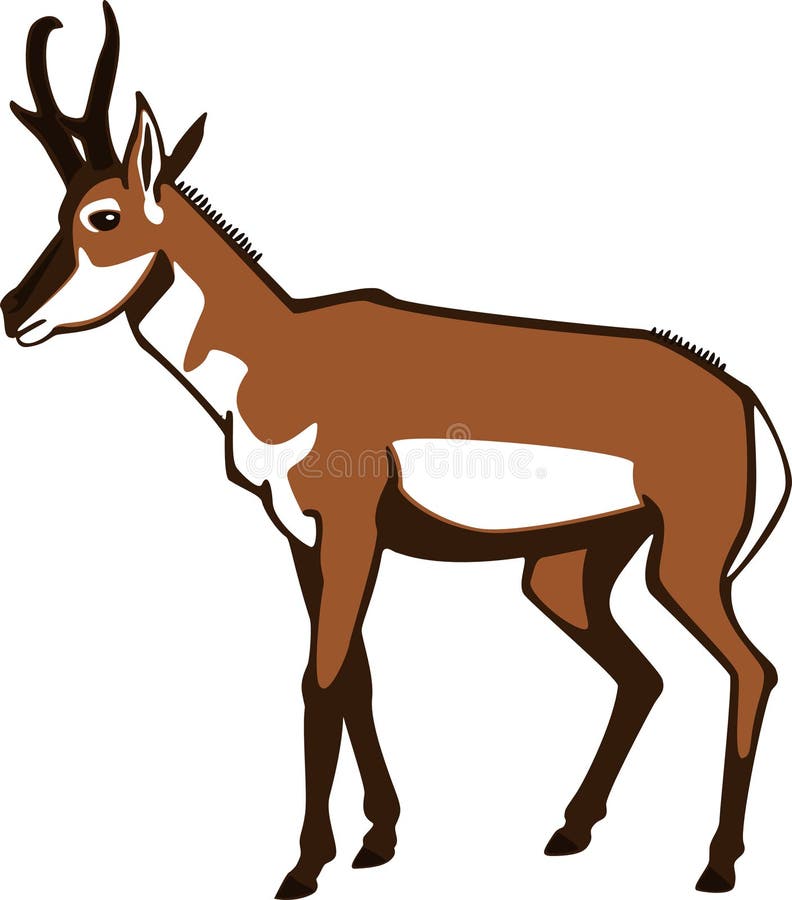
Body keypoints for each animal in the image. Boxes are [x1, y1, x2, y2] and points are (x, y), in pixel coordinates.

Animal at [2, 4, 788, 897]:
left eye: (103, 216)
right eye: (58, 209)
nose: (12, 311)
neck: (285, 352)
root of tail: (742, 397)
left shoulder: (351, 532)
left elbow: (320, 680)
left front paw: (305, 865)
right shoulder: (305, 540)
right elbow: (357, 677)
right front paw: (378, 838)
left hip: (684, 568)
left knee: (751, 669)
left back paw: (716, 864)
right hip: (564, 576)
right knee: (644, 674)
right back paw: (570, 831)